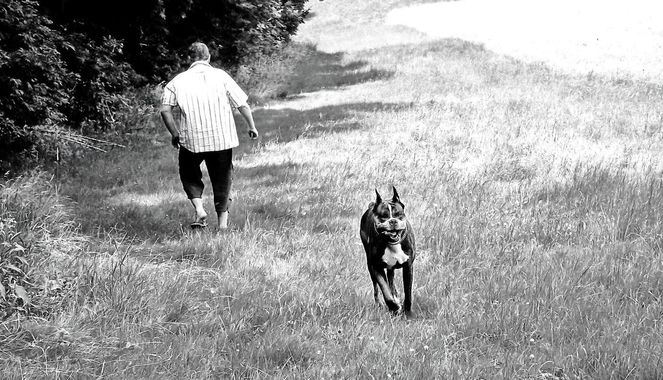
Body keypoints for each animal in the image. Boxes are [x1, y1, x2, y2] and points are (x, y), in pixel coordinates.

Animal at [360, 186, 418, 314]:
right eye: (383, 216)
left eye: (398, 214)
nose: (392, 221)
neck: (392, 244)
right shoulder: (376, 267)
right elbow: (384, 289)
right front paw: (393, 307)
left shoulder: (408, 266)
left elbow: (408, 292)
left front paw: (407, 312)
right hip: (370, 265)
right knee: (377, 288)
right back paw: (380, 303)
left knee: (391, 279)